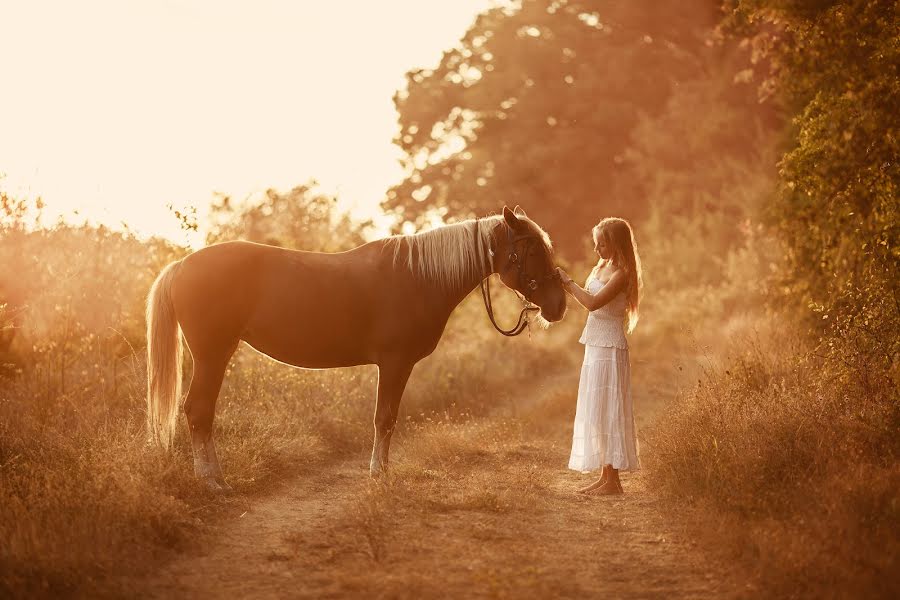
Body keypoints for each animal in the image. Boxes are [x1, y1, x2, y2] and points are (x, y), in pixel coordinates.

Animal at [148, 205, 568, 488]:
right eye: (532, 250)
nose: (559, 305)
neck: (419, 276)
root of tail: (181, 265)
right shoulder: (395, 363)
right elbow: (385, 418)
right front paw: (379, 473)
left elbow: (387, 419)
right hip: (212, 355)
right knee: (198, 411)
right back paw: (212, 480)